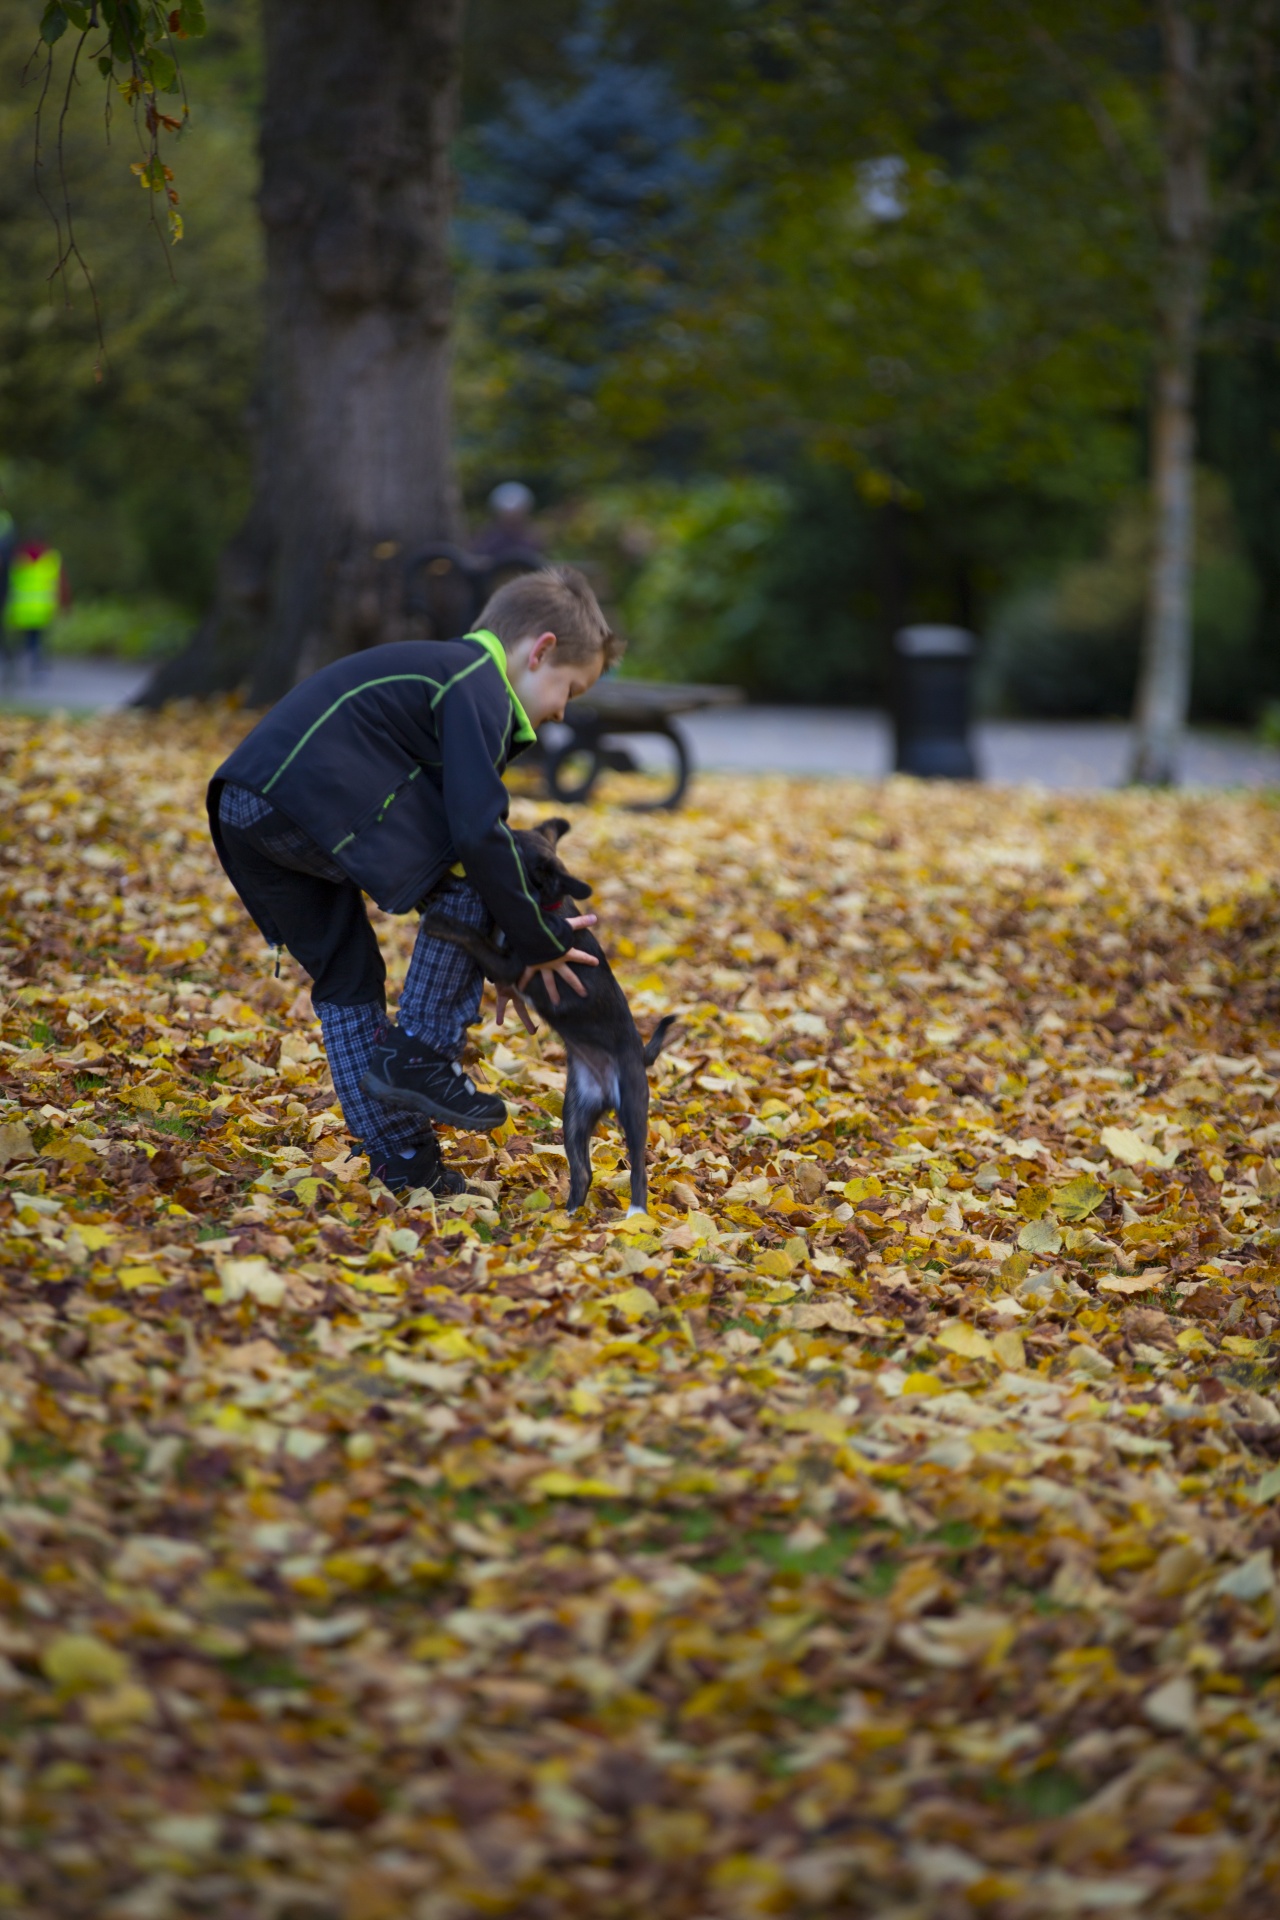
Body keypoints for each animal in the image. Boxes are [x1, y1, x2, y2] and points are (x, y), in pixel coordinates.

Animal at [422, 821, 679, 1213]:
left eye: (508, 849)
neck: (546, 904)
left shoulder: (509, 965)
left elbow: (473, 936)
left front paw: (439, 919)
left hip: (632, 1108)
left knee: (638, 1166)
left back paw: (635, 1215)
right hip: (574, 1115)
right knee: (583, 1170)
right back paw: (568, 1215)